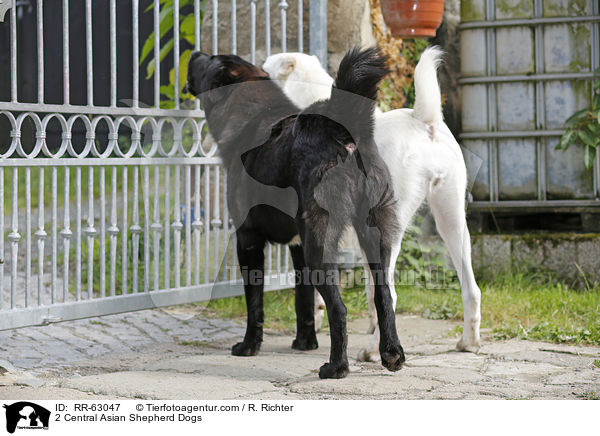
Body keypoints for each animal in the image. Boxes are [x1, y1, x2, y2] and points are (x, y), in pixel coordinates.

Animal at [185, 46, 406, 376]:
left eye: (210, 60)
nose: (194, 51)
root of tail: (341, 128)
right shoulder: (298, 247)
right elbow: (303, 300)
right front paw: (305, 343)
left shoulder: (247, 240)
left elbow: (254, 303)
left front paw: (249, 346)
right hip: (374, 237)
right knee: (385, 297)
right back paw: (391, 354)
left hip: (320, 244)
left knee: (339, 308)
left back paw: (336, 367)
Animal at [264, 48, 480, 362]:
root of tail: (423, 120)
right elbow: (368, 291)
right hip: (451, 220)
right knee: (471, 289)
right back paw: (469, 342)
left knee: (391, 293)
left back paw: (373, 352)